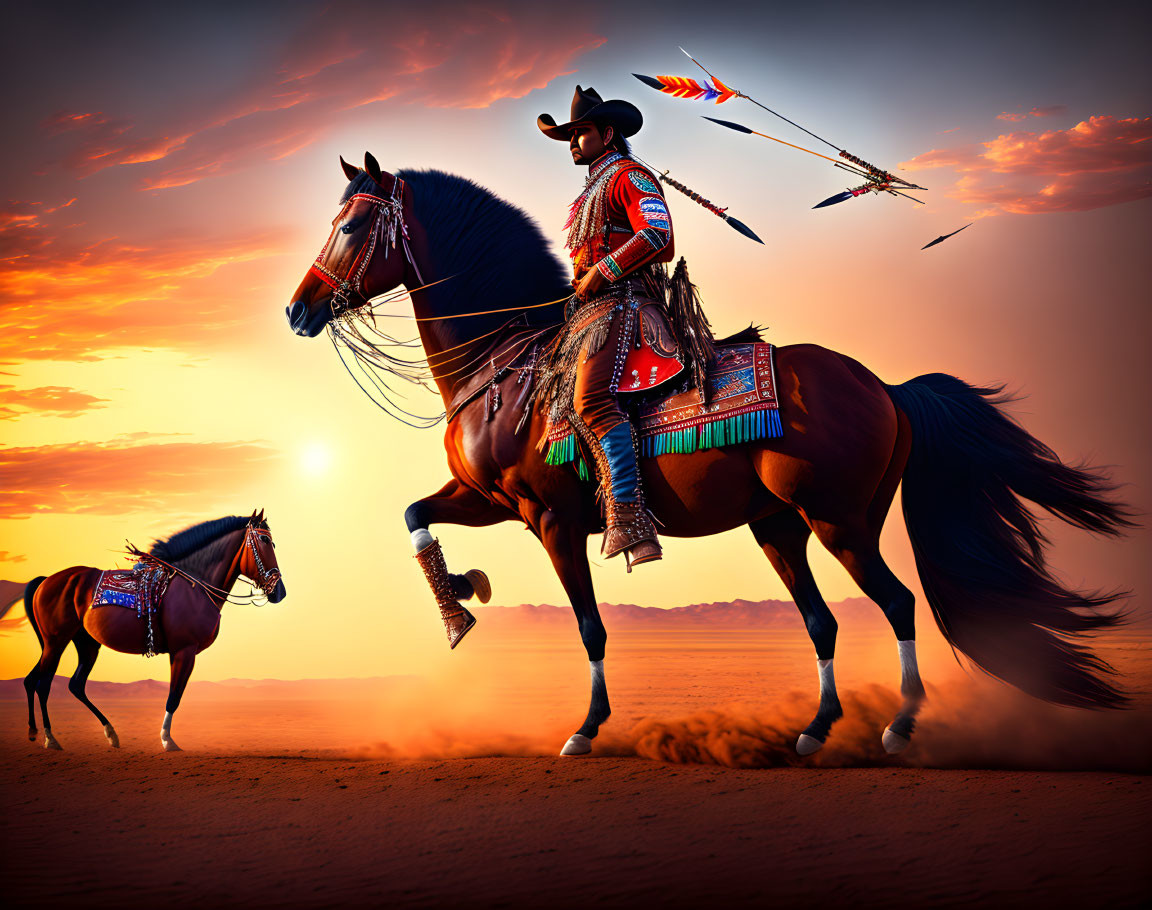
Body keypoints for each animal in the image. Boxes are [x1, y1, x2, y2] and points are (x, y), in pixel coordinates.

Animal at [23, 513, 284, 755]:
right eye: (264, 539)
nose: (278, 591)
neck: (194, 585)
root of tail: (46, 581)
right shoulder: (184, 651)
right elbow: (174, 696)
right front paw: (167, 740)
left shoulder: (179, 652)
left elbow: (174, 695)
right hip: (56, 641)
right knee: (43, 684)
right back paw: (50, 738)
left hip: (84, 644)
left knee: (65, 684)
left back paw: (105, 734)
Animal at [283, 153, 1128, 760]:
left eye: (352, 228)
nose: (298, 308)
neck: (505, 363)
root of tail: (883, 385)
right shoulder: (489, 499)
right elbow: (413, 515)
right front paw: (461, 598)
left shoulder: (550, 518)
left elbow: (589, 625)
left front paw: (584, 728)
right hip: (779, 526)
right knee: (822, 622)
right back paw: (815, 731)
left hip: (840, 521)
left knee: (895, 603)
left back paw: (899, 727)